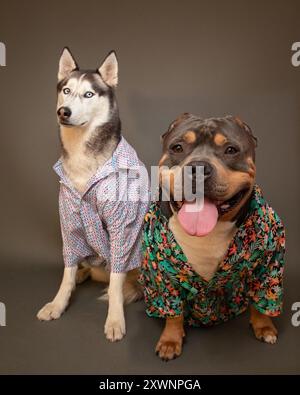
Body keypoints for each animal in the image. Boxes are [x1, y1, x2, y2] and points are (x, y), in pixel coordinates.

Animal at [37, 48, 149, 342]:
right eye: (66, 90)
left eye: (89, 94)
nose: (63, 112)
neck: (83, 156)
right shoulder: (68, 220)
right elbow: (66, 270)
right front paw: (58, 303)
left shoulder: (122, 223)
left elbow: (116, 284)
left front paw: (115, 319)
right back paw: (82, 274)